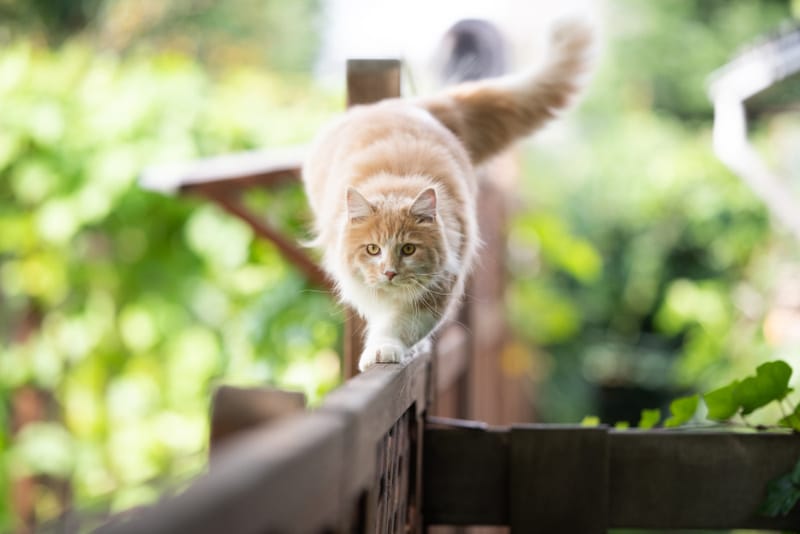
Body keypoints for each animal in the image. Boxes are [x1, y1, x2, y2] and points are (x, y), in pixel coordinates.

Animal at [304, 19, 592, 372]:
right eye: (372, 249)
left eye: (409, 249)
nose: (389, 272)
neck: (396, 185)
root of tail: (410, 106)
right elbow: (383, 317)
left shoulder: (438, 288)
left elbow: (400, 326)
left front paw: (386, 349)